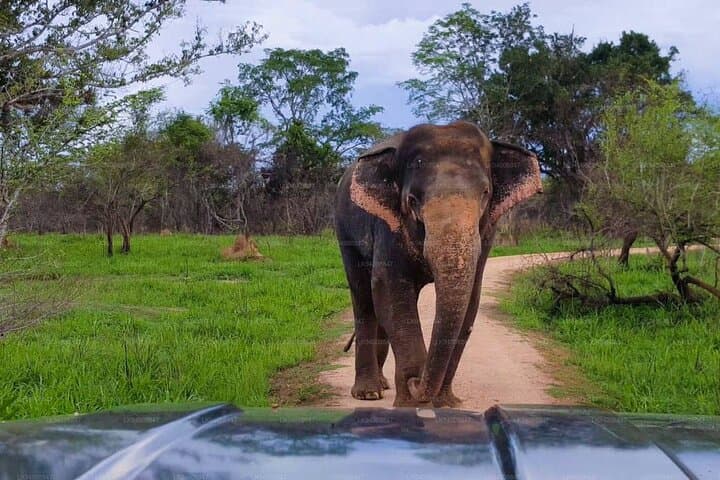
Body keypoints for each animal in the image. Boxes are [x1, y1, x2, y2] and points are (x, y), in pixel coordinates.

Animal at [334, 121, 542, 407]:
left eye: (485, 193)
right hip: (344, 230)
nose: (416, 381)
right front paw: (409, 405)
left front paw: (446, 404)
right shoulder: (388, 225)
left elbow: (471, 299)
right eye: (411, 200)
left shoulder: (487, 232)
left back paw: (384, 385)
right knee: (364, 298)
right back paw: (368, 393)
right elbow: (389, 290)